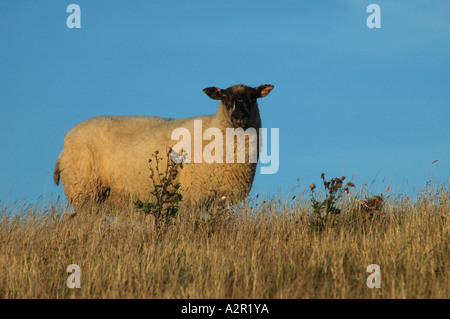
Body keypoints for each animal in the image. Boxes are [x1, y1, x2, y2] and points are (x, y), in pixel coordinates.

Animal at [55, 84, 276, 212]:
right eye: (224, 98)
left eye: (253, 97)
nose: (239, 116)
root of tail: (65, 143)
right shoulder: (192, 196)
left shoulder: (217, 200)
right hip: (84, 189)